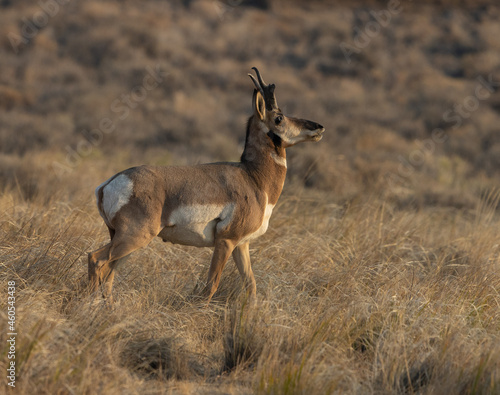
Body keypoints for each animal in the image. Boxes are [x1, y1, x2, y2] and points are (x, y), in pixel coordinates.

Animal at [89, 67, 324, 304]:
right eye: (278, 117)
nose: (319, 126)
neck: (253, 177)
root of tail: (108, 184)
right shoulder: (226, 241)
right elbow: (211, 285)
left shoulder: (241, 245)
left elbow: (251, 286)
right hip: (134, 237)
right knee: (96, 259)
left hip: (124, 241)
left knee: (108, 273)